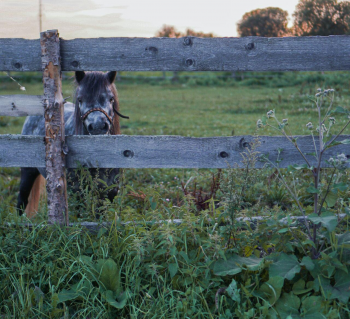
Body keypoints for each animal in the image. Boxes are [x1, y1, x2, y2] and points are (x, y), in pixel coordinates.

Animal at [17, 71, 127, 216]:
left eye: (111, 99)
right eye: (80, 99)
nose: (98, 127)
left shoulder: (108, 192)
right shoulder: (77, 192)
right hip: (28, 172)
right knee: (22, 200)